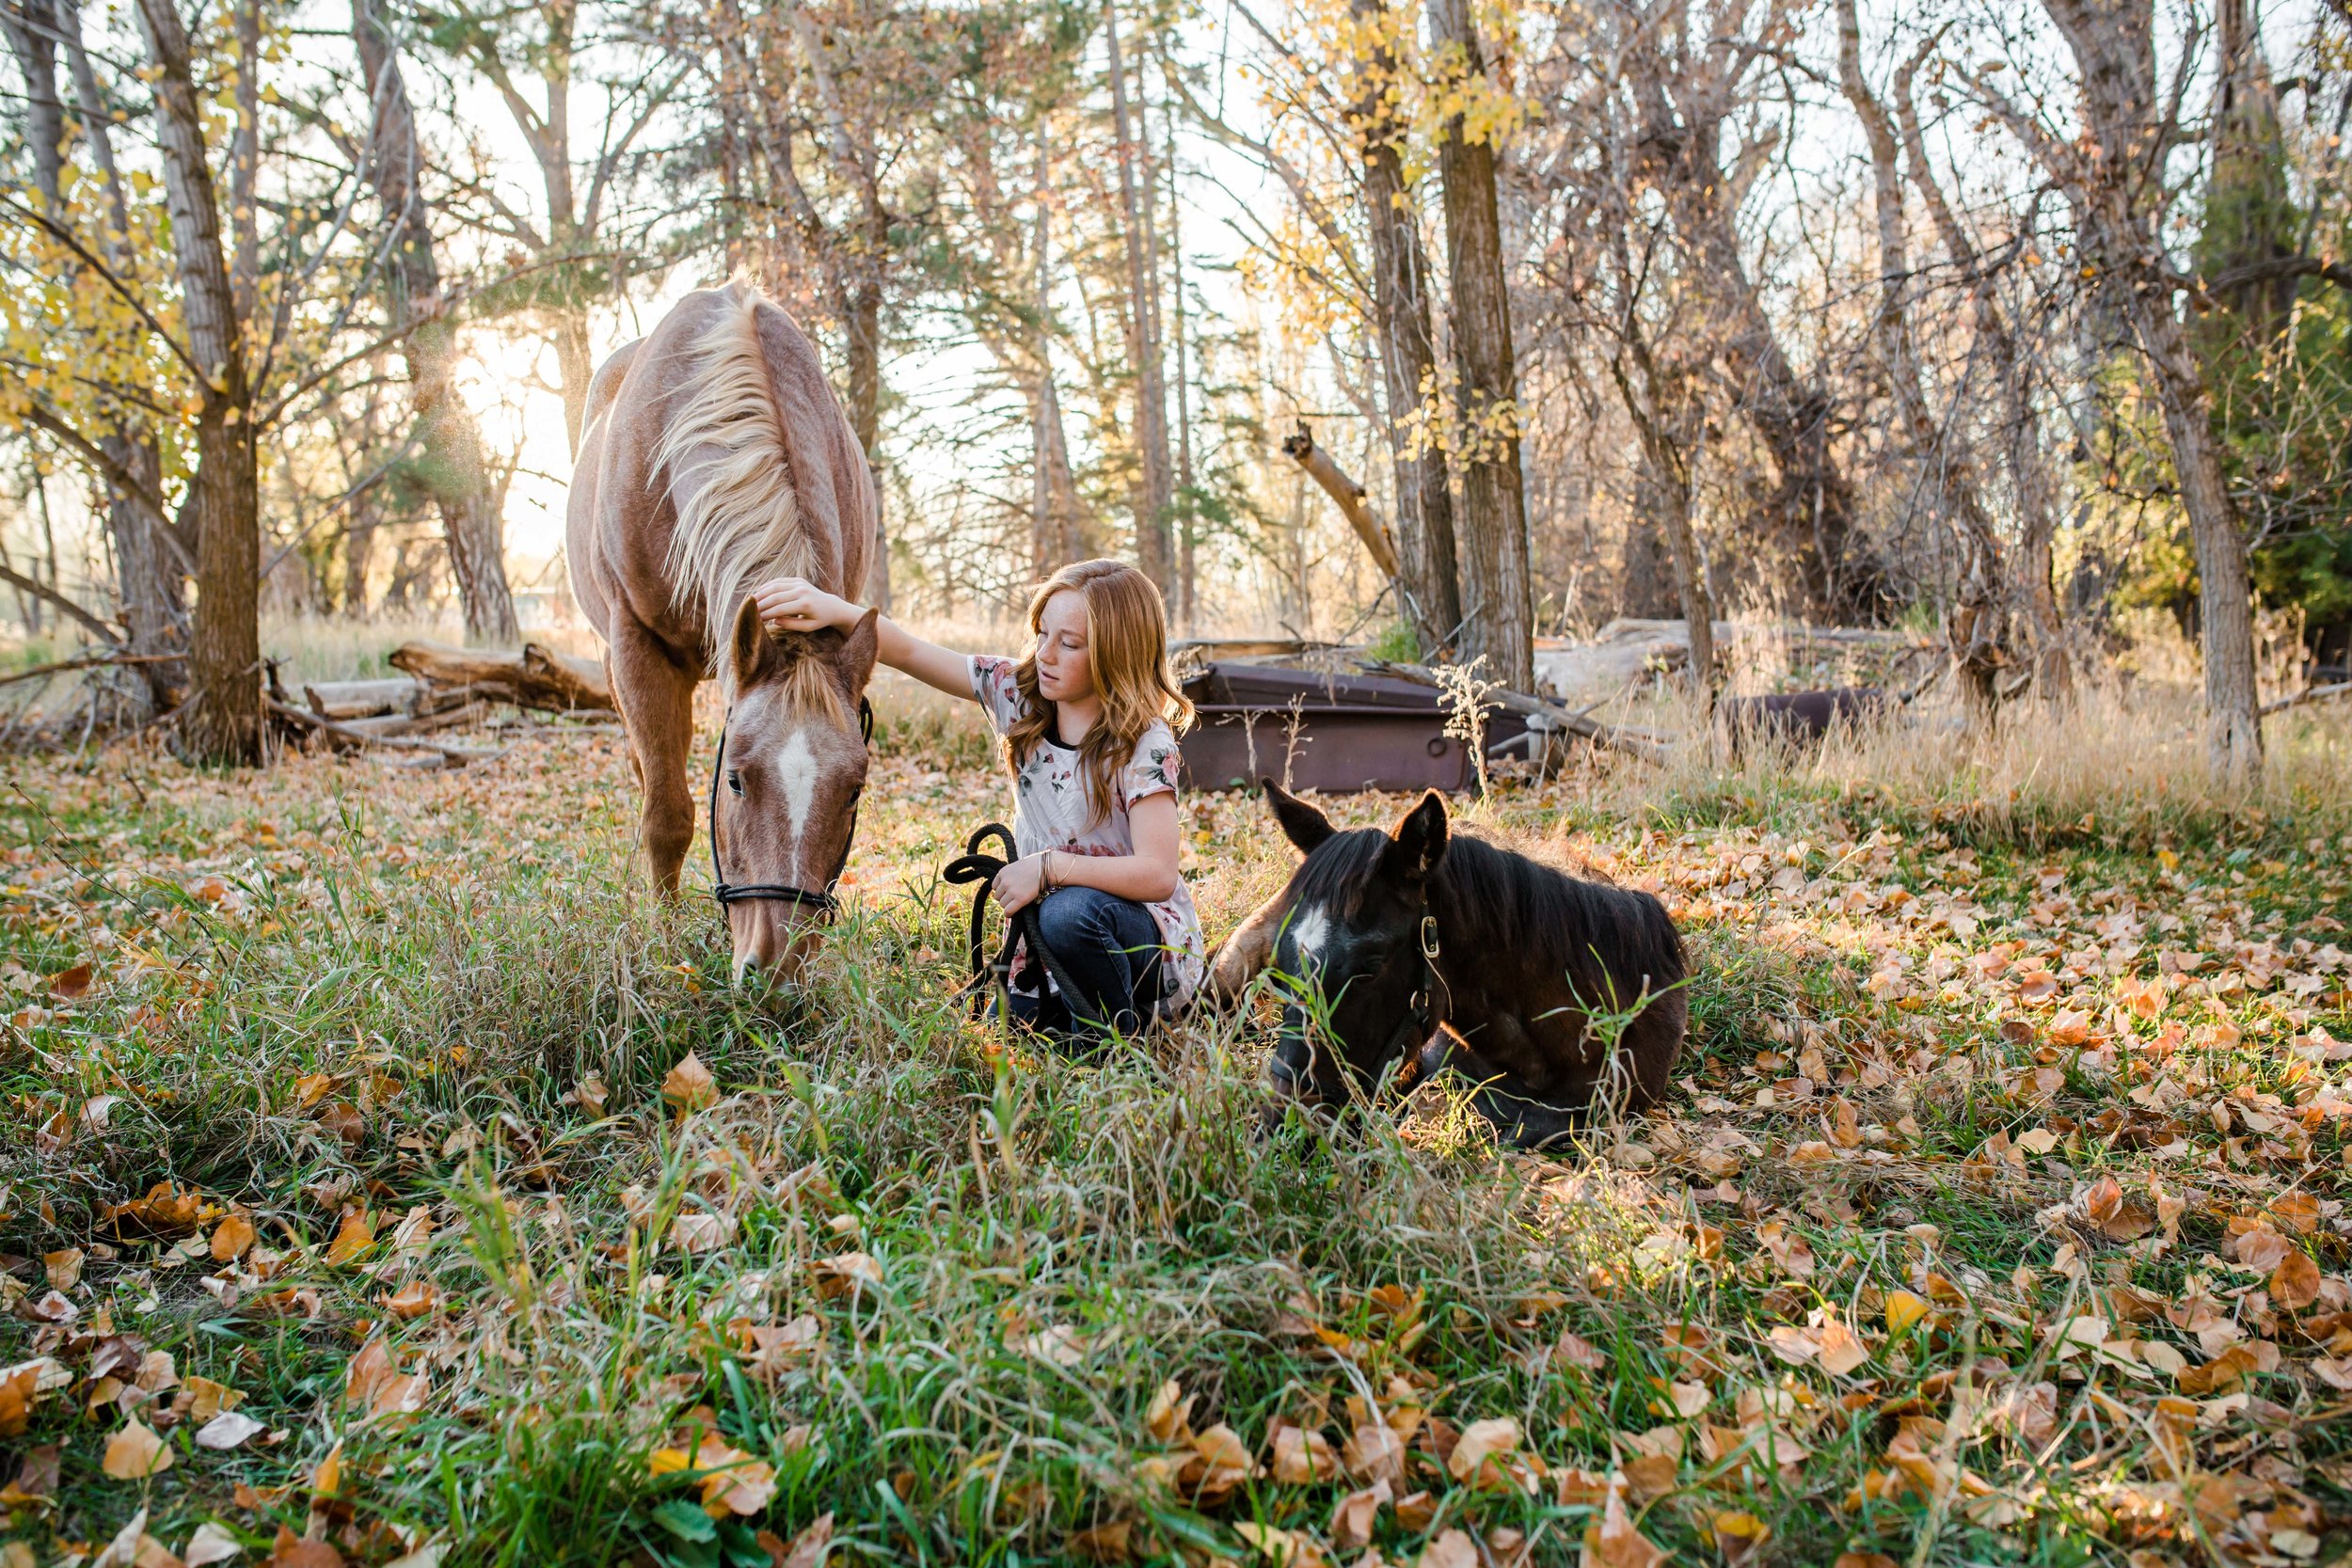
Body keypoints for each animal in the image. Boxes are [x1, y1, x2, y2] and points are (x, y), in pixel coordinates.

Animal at [564, 276, 880, 973]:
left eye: (853, 790)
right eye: (734, 780)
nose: (777, 966)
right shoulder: (638, 647)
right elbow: (667, 816)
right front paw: (665, 944)